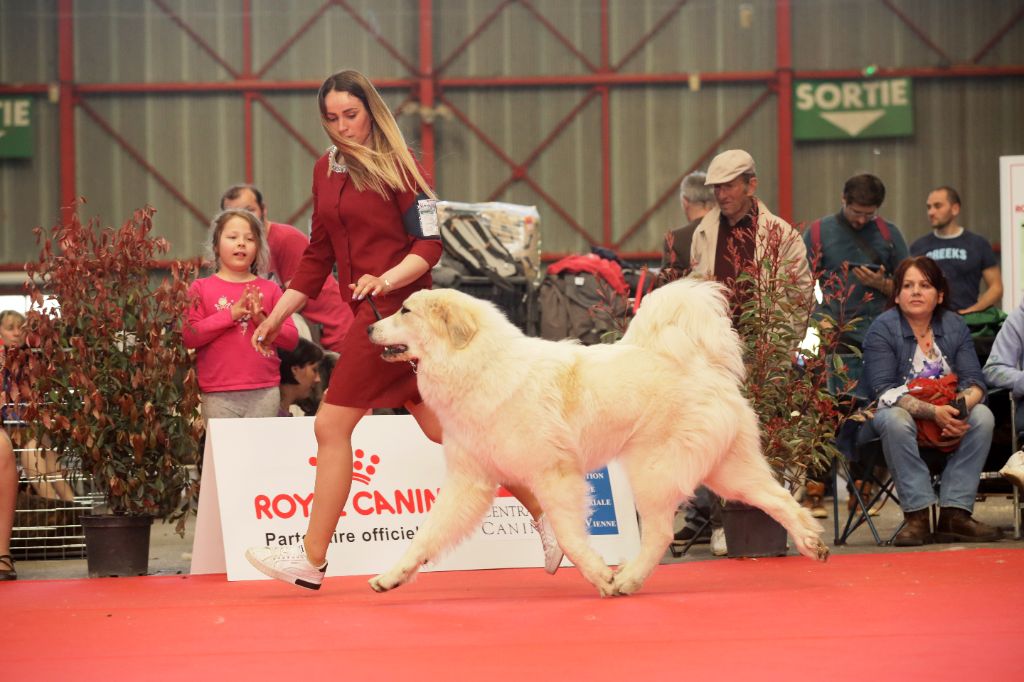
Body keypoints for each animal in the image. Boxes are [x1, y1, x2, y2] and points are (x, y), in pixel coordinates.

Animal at [364, 278, 827, 593]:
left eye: (404, 311)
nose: (368, 329)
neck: (478, 366)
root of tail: (701, 365)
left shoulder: (555, 476)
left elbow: (570, 536)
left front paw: (600, 575)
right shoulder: (470, 482)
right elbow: (427, 535)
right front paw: (391, 576)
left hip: (653, 471)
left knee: (660, 533)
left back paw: (628, 580)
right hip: (727, 470)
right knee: (776, 498)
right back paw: (811, 542)